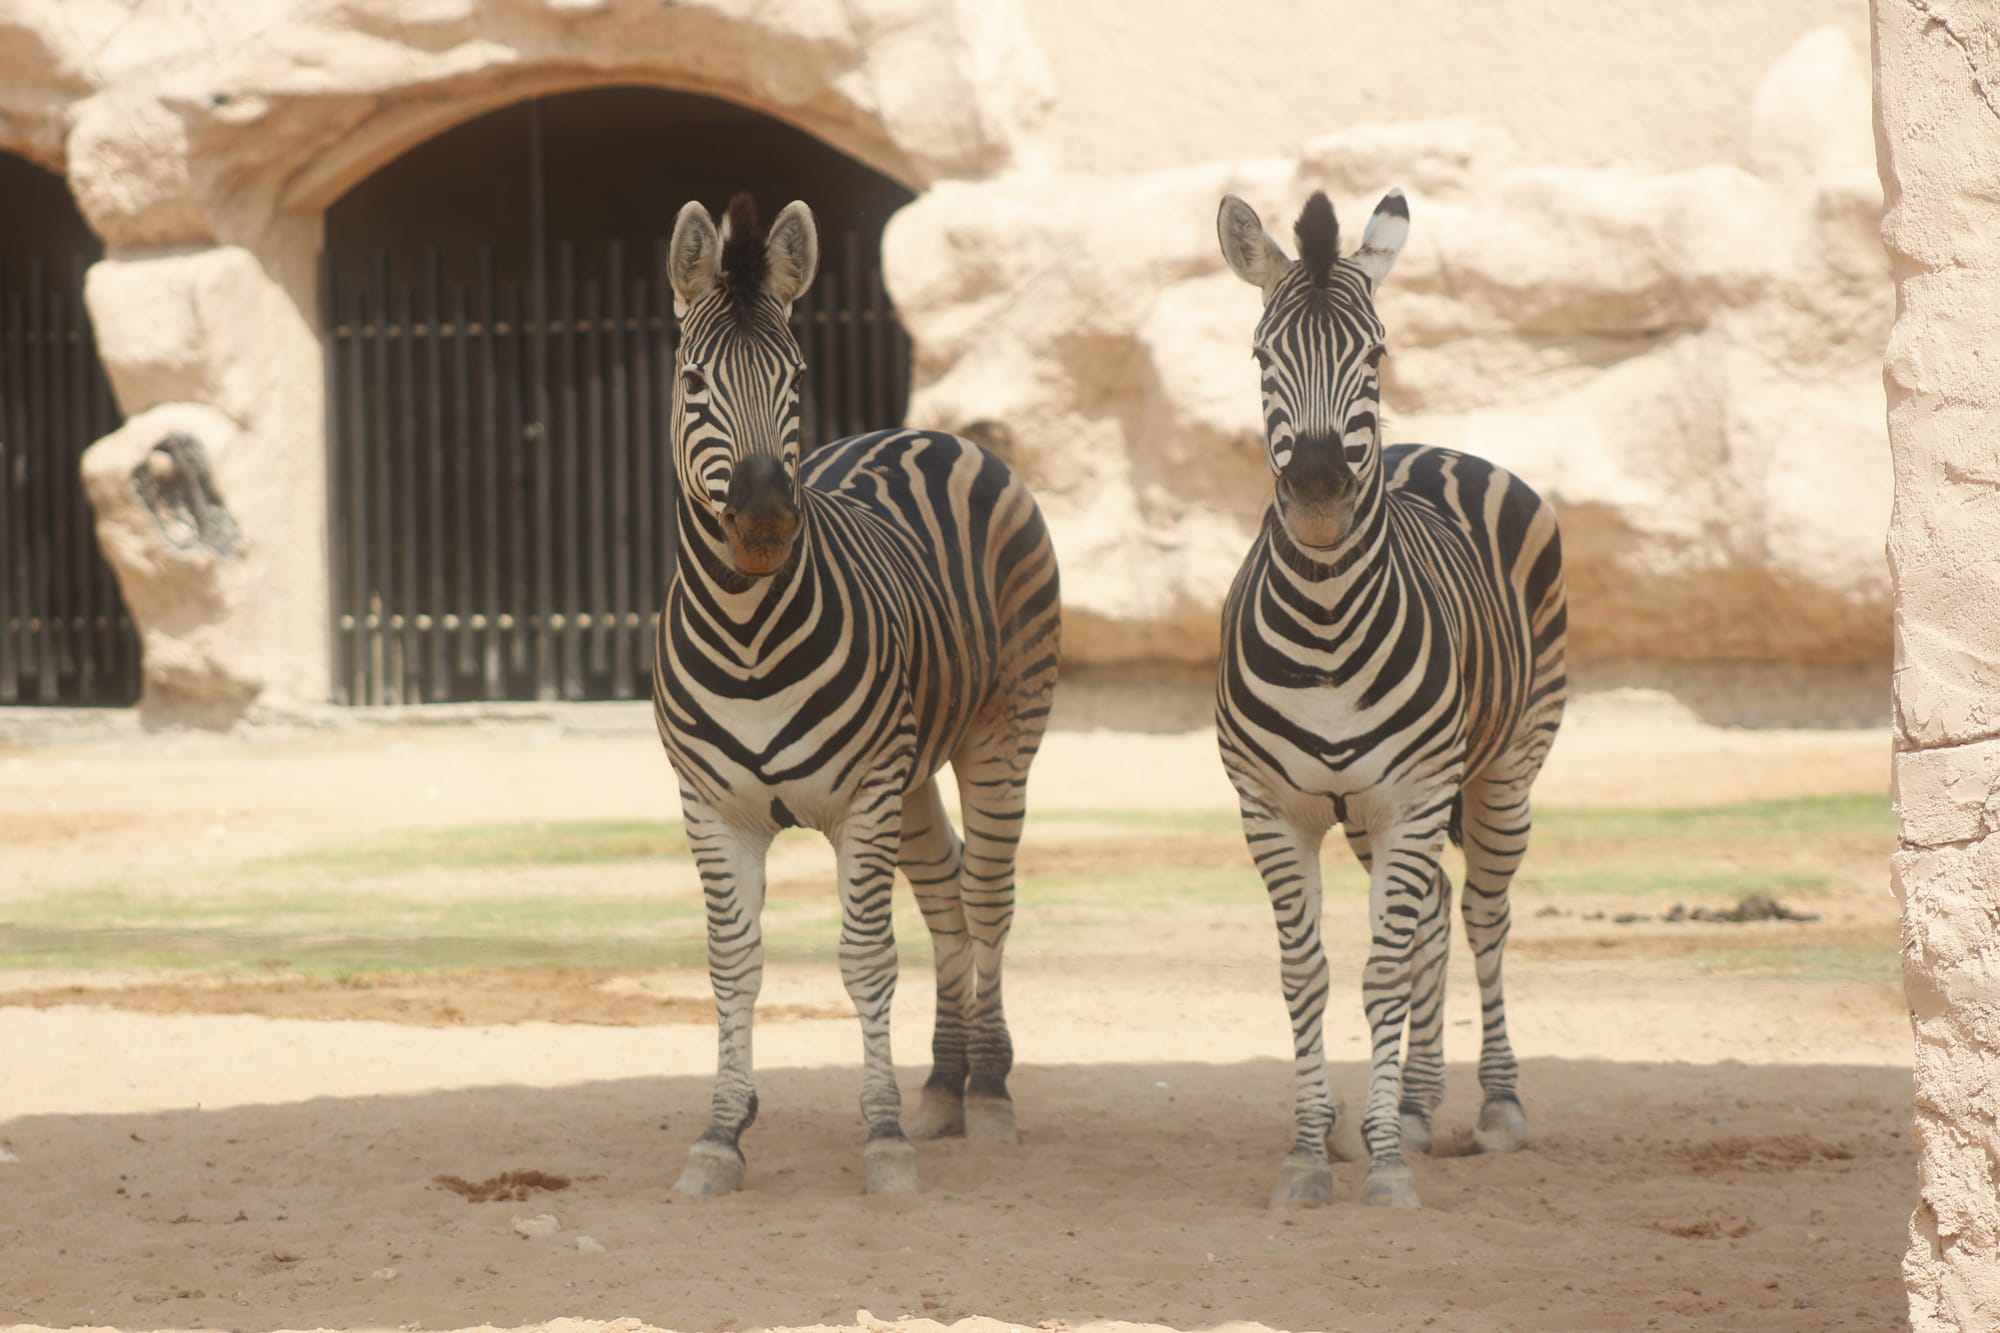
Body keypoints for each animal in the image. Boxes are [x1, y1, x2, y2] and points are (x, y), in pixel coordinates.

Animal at [653, 193, 1061, 1197]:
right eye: (694, 380)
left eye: (796, 377)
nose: (764, 520)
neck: (748, 634)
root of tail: (922, 431)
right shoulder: (710, 807)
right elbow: (733, 964)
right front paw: (721, 1132)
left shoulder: (864, 795)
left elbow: (866, 958)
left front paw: (881, 1138)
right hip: (913, 772)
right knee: (947, 894)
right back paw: (943, 1086)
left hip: (999, 739)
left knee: (986, 898)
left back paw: (988, 1089)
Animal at [1212, 188, 1567, 1209]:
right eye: (1262, 356)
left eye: (1374, 353)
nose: (1319, 487)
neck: (1328, 620)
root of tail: (1433, 448)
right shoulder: (1271, 807)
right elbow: (1307, 974)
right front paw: (1312, 1148)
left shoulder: (1413, 797)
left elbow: (1378, 973)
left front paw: (1383, 1166)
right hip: (1378, 817)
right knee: (1437, 913)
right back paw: (1410, 1104)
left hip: (1502, 773)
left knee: (1482, 910)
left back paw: (1493, 1106)